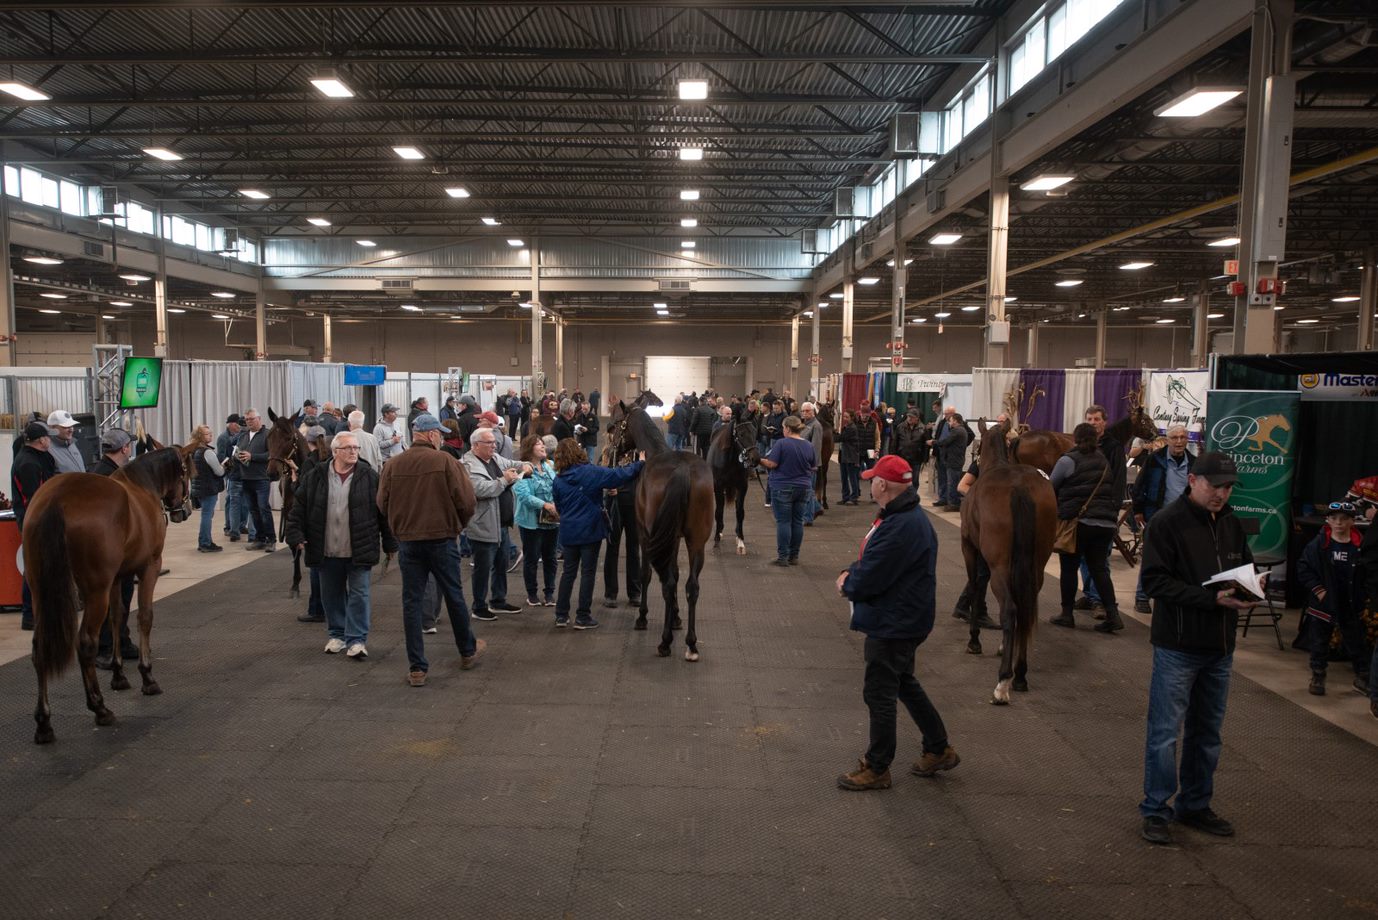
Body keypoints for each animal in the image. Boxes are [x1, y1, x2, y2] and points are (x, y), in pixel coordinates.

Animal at [25, 443, 192, 738]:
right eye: (186, 471)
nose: (183, 510)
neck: (141, 486)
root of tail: (56, 499)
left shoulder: (116, 579)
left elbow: (117, 618)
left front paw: (118, 675)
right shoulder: (149, 567)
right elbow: (144, 616)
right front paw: (147, 677)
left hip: (40, 591)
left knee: (39, 646)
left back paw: (44, 722)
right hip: (94, 590)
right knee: (85, 643)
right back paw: (99, 708)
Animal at [609, 396, 716, 661]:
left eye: (617, 423)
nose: (614, 450)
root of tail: (683, 470)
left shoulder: (644, 534)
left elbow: (647, 575)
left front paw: (643, 616)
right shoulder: (674, 538)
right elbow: (677, 575)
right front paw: (677, 618)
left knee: (666, 583)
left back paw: (665, 642)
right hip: (696, 542)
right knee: (691, 586)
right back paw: (691, 644)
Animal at [711, 418, 766, 553]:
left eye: (755, 433)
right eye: (741, 434)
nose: (756, 459)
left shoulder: (742, 486)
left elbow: (740, 512)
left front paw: (741, 541)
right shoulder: (718, 486)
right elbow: (718, 511)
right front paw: (716, 539)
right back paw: (720, 531)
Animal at [964, 421, 1058, 705]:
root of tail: (1019, 488)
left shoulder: (970, 548)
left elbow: (975, 588)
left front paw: (974, 641)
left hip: (999, 567)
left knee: (1010, 609)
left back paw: (1003, 683)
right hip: (1036, 567)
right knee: (1026, 610)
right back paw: (1020, 676)